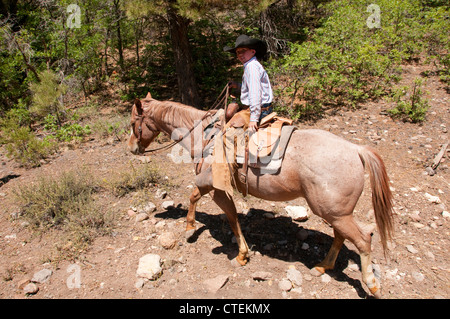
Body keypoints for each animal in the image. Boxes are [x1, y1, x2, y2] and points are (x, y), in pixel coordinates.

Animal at [126, 93, 394, 300]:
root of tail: (356, 150)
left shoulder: (212, 185)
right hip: (336, 213)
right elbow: (225, 213)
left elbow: (206, 203)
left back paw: (371, 285)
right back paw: (322, 266)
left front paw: (194, 230)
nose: (131, 148)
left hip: (335, 212)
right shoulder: (216, 189)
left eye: (132, 123)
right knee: (341, 236)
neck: (204, 135)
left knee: (363, 240)